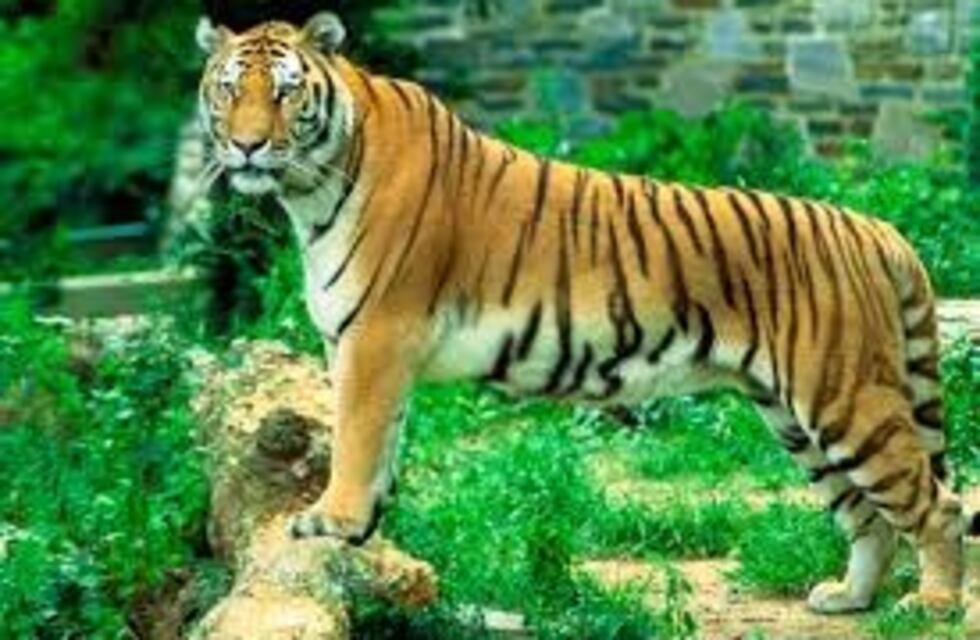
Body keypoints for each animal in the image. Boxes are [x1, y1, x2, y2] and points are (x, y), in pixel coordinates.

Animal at [194, 12, 970, 614]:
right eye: (229, 90)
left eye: (286, 92)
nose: (247, 144)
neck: (311, 190)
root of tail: (876, 228)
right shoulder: (360, 344)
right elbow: (379, 441)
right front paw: (362, 534)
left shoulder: (378, 336)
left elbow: (355, 437)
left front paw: (330, 521)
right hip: (794, 416)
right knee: (868, 516)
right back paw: (849, 598)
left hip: (845, 399)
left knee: (938, 505)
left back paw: (931, 603)